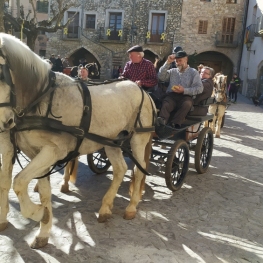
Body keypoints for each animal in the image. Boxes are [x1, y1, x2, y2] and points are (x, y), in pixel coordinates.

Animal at [0, 33, 156, 250]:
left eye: (0, 74)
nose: (5, 122)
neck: (41, 99)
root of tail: (143, 91)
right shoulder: (35, 153)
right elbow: (42, 191)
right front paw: (43, 229)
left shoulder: (53, 150)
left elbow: (19, 181)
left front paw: (38, 213)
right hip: (112, 141)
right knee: (120, 169)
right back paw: (105, 208)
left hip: (138, 140)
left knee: (138, 171)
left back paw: (131, 208)